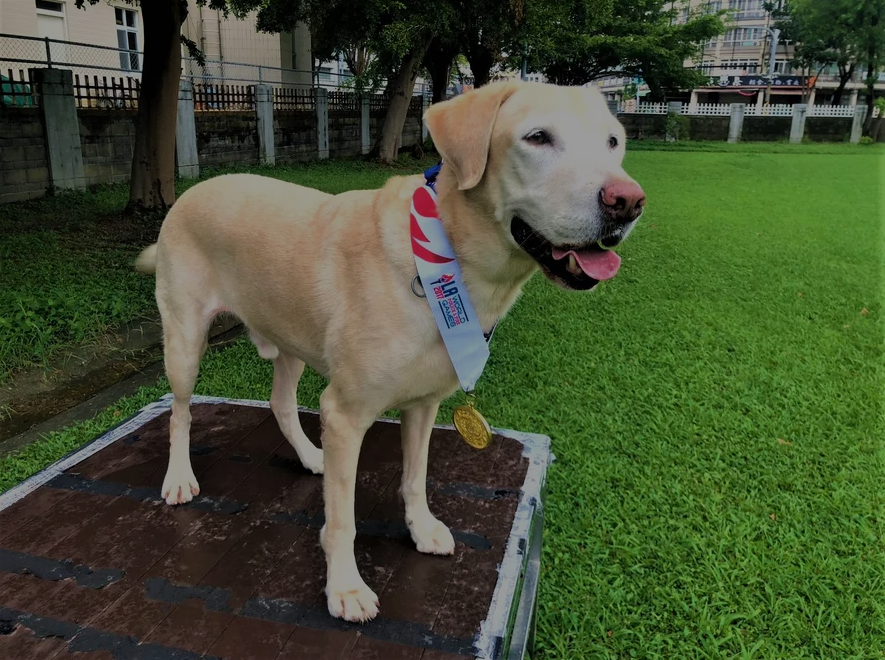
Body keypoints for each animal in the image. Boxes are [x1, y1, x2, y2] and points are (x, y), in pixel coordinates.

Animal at [135, 80, 644, 620]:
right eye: (538, 137)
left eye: (613, 142)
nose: (628, 202)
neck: (448, 259)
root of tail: (191, 191)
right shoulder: (344, 413)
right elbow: (342, 517)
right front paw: (345, 587)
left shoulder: (423, 406)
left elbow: (415, 477)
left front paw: (421, 529)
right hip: (184, 343)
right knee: (180, 412)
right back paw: (179, 477)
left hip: (288, 335)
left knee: (280, 402)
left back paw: (310, 457)